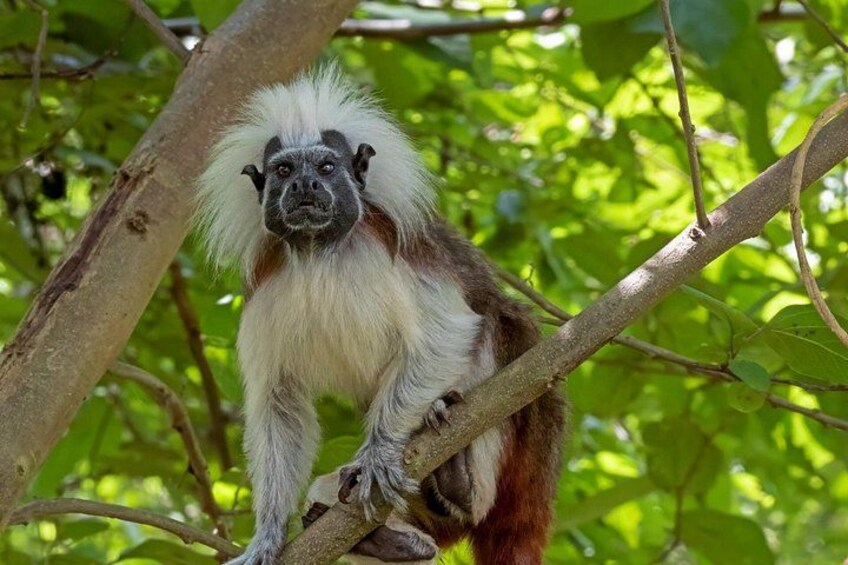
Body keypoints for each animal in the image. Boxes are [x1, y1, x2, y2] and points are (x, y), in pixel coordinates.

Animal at [196, 66, 565, 564]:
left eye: (326, 168)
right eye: (285, 170)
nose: (306, 187)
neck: (318, 253)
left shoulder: (387, 247)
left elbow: (448, 333)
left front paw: (378, 453)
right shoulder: (262, 287)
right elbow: (279, 399)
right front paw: (267, 536)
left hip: (523, 417)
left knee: (494, 344)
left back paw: (461, 484)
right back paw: (397, 540)